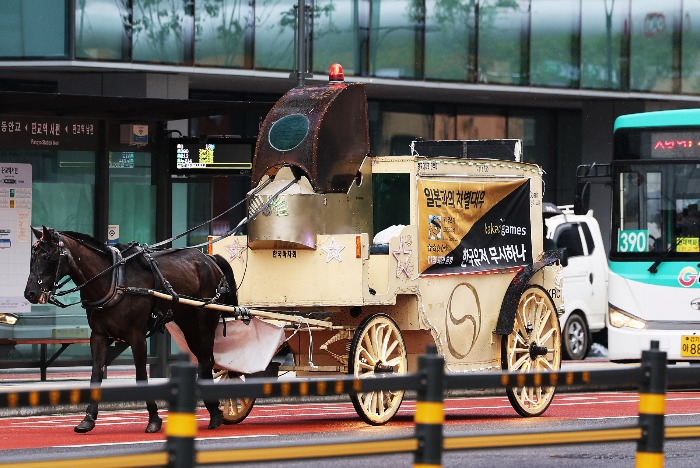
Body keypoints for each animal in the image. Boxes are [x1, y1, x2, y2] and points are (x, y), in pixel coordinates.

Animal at [23, 225, 238, 434]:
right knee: (203, 359)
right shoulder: (99, 336)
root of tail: (210, 259)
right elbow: (96, 375)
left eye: (47, 256)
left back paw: (215, 412)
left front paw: (153, 419)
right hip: (188, 322)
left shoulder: (137, 336)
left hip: (205, 320)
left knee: (207, 360)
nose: (30, 293)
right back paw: (213, 409)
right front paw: (88, 418)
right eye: (32, 257)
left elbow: (141, 376)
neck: (114, 281)